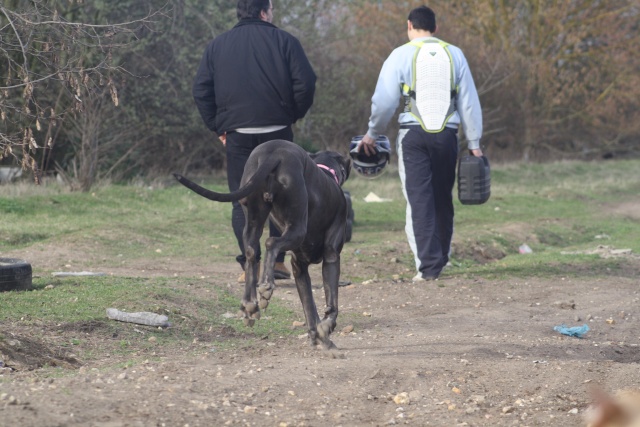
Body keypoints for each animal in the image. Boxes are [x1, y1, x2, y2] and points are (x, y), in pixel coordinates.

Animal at [174, 140, 350, 352]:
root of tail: (273, 151)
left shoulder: (299, 267)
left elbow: (309, 306)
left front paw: (318, 336)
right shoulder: (331, 257)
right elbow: (332, 302)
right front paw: (327, 329)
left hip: (253, 217)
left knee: (252, 253)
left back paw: (249, 304)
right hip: (297, 227)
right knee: (271, 243)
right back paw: (266, 286)